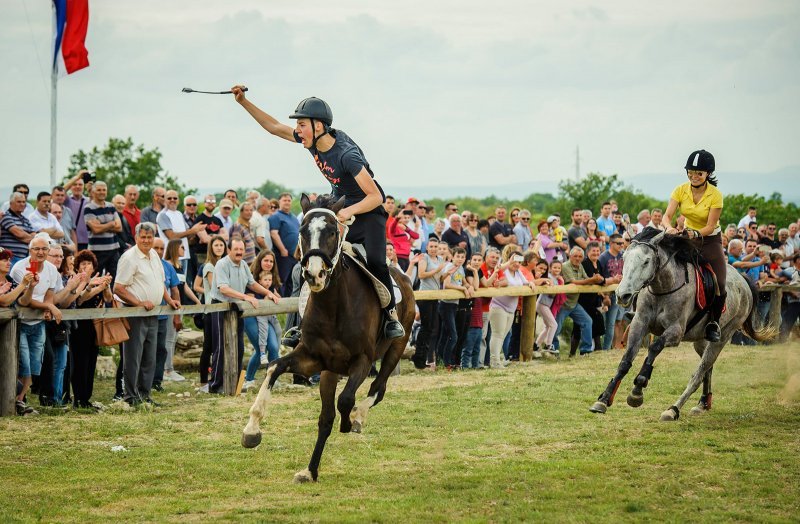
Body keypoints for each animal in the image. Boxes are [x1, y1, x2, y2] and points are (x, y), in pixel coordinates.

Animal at [241, 193, 416, 484]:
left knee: (378, 388)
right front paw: (251, 430)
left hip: (395, 349)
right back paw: (310, 471)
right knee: (326, 417)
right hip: (330, 371)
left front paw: (349, 421)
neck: (333, 306)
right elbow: (275, 368)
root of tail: (402, 274)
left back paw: (358, 418)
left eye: (333, 232)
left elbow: (346, 400)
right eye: (302, 231)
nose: (314, 274)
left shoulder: (362, 360)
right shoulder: (313, 359)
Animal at [588, 228, 776, 422]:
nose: (622, 295)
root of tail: (744, 280)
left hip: (722, 337)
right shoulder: (638, 324)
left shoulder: (675, 332)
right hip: (700, 341)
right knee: (707, 369)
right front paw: (603, 399)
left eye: (646, 261)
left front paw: (637, 391)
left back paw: (673, 409)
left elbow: (654, 347)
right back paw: (703, 403)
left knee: (699, 374)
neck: (662, 288)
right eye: (624, 258)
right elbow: (625, 361)